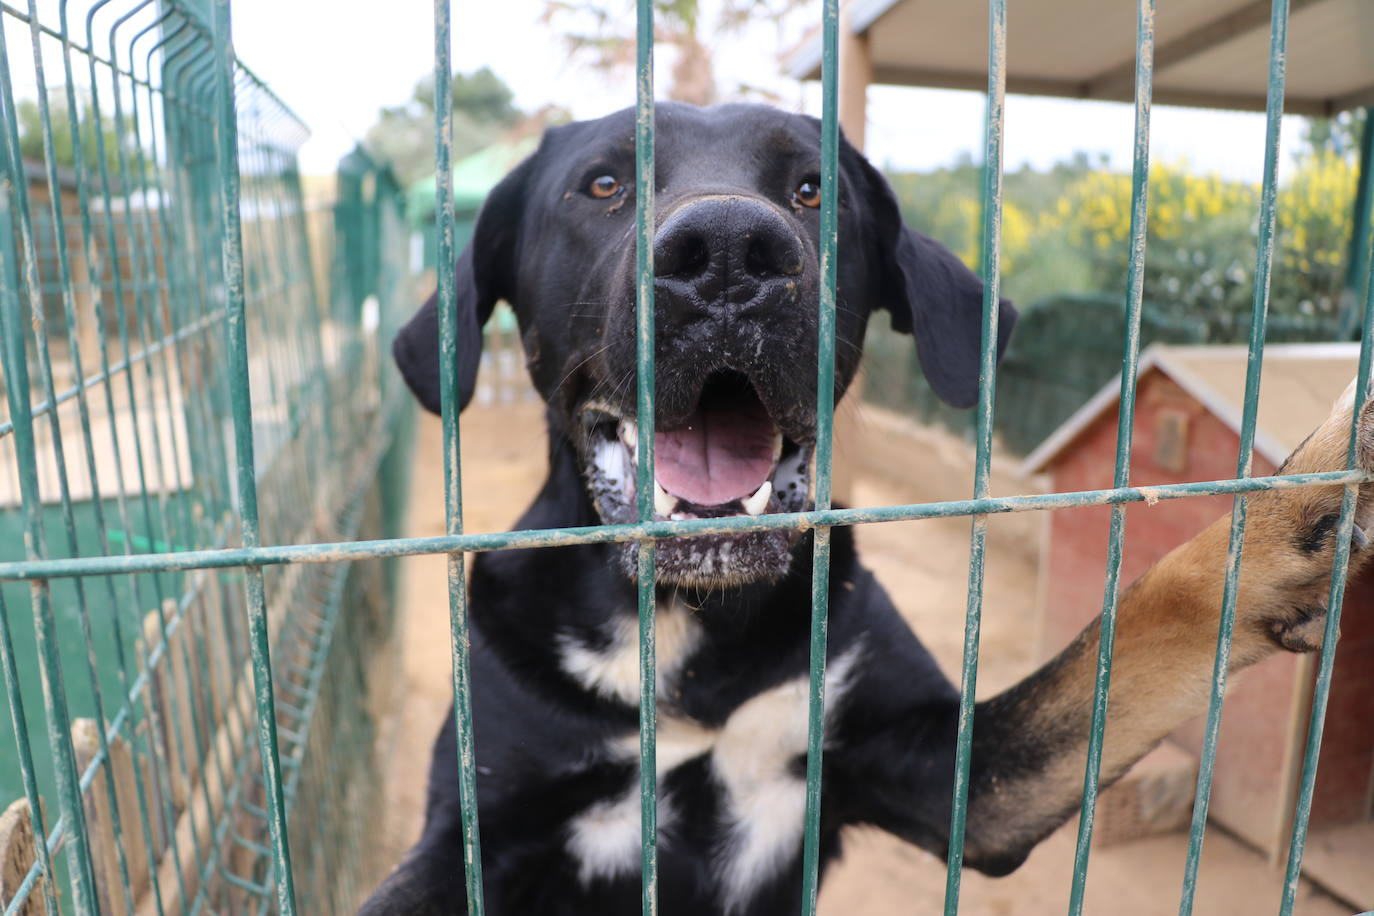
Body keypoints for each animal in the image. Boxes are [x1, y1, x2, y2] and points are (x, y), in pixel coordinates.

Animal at [362, 102, 1374, 916]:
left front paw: (1300, 503)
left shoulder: (955, 779)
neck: (693, 630)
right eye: (603, 183)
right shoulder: (478, 836)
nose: (726, 254)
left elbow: (1138, 628)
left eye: (814, 189)